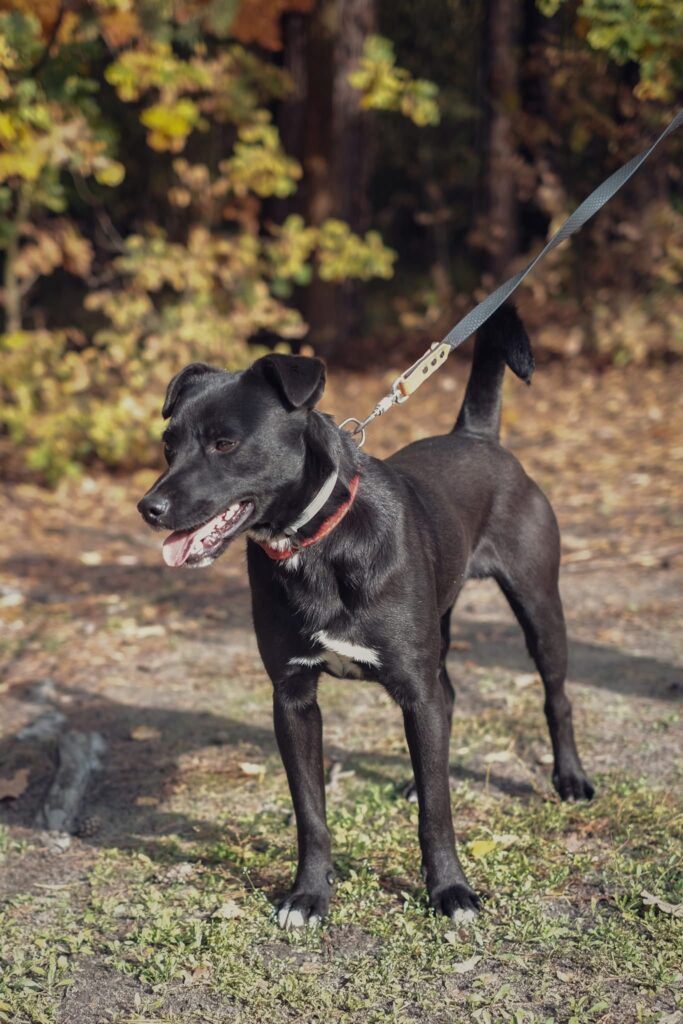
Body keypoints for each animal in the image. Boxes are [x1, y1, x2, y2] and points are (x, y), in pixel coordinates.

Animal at [138, 304, 593, 928]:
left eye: (225, 443)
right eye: (168, 444)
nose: (149, 508)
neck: (318, 543)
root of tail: (476, 436)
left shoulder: (414, 689)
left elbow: (438, 813)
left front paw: (451, 890)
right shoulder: (293, 699)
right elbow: (311, 813)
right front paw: (308, 895)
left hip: (539, 607)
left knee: (555, 695)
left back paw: (569, 778)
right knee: (449, 699)